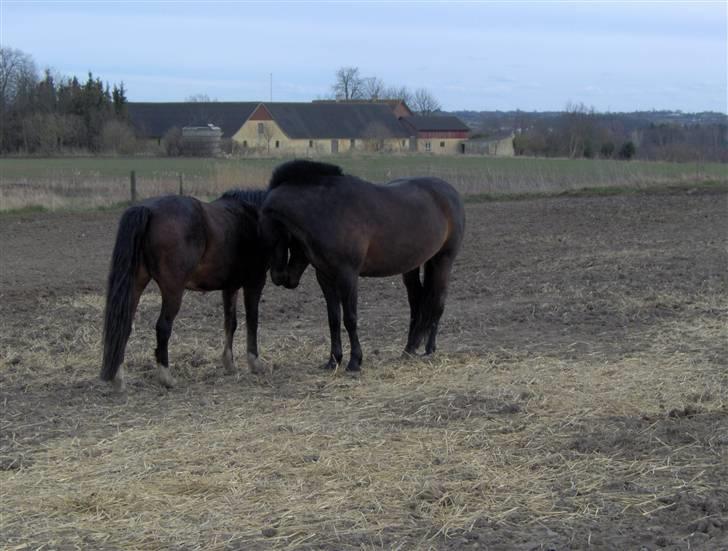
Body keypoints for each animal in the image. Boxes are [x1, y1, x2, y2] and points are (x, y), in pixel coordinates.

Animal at [100, 188, 269, 392]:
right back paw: (167, 377)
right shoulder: (254, 282)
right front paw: (255, 363)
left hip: (135, 285)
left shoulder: (230, 287)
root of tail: (148, 209)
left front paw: (229, 364)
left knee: (123, 325)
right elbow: (252, 320)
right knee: (163, 327)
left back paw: (118, 379)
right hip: (173, 290)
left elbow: (231, 323)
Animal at [259, 160, 465, 373]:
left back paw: (430, 349)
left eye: (277, 238)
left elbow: (350, 318)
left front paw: (354, 362)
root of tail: (450, 191)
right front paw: (333, 360)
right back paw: (409, 349)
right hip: (412, 266)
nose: (281, 278)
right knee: (417, 303)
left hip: (443, 260)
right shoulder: (325, 277)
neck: (327, 209)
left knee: (437, 302)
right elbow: (333, 318)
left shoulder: (348, 275)